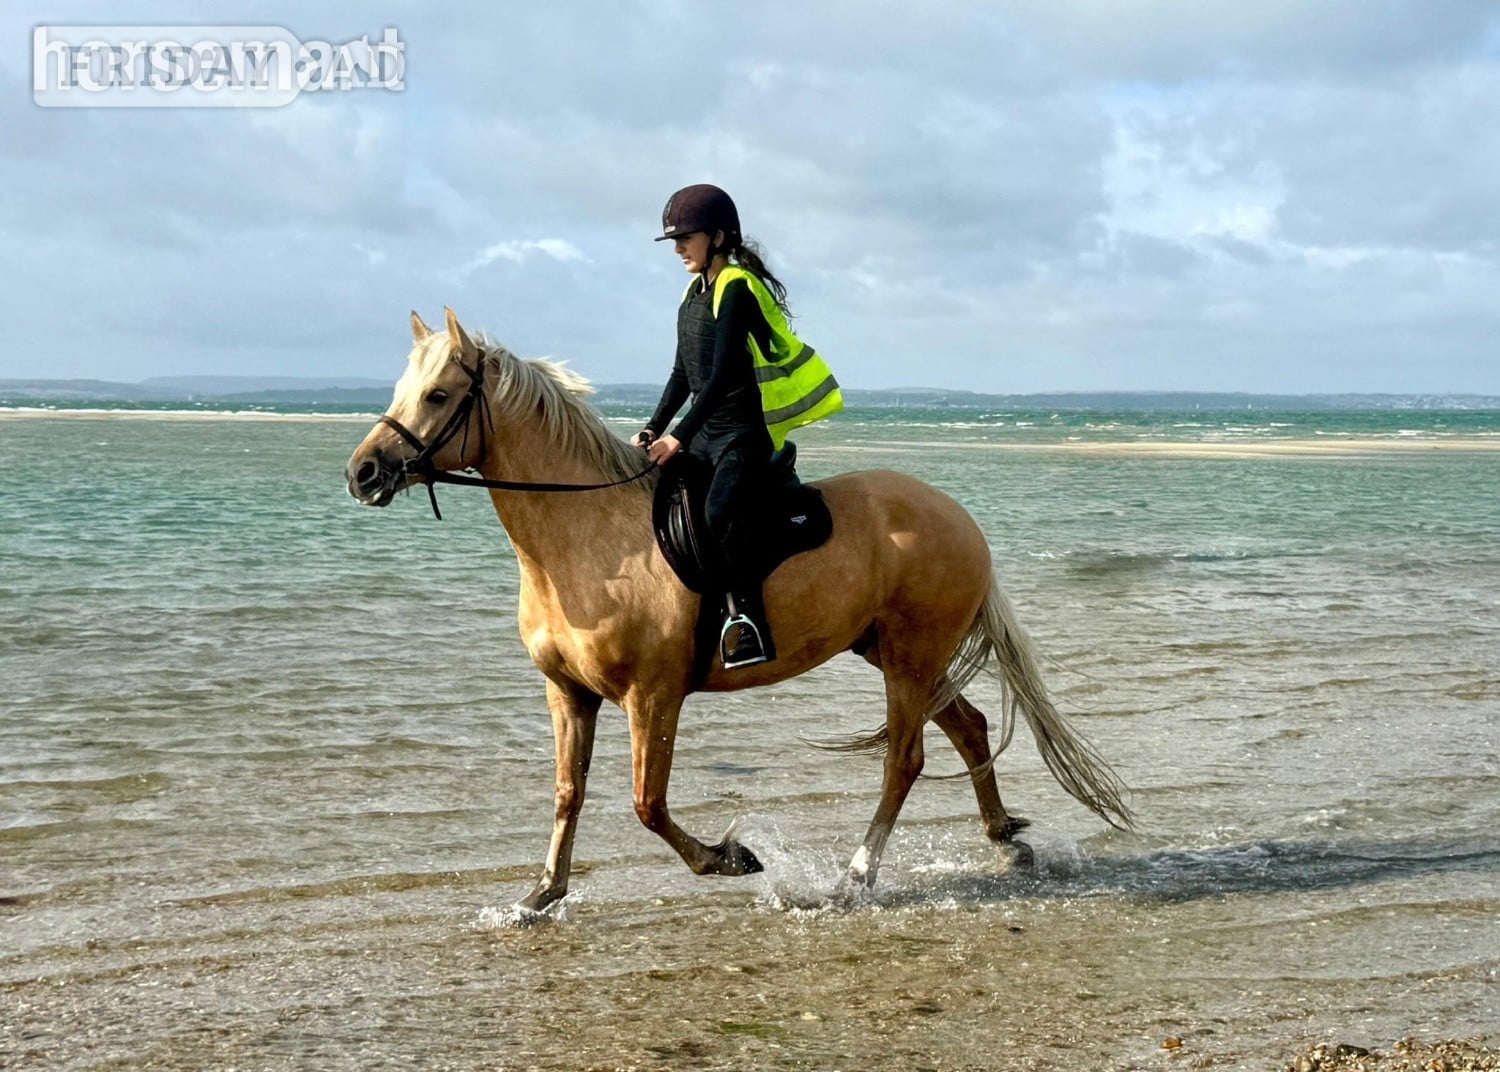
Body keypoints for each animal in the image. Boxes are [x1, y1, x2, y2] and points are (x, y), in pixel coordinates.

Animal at [345, 308, 1132, 914]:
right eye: (403, 388)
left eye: (439, 395)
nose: (363, 473)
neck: (587, 539)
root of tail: (958, 517)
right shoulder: (567, 692)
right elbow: (569, 791)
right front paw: (541, 895)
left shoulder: (653, 697)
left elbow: (647, 804)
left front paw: (729, 858)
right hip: (893, 649)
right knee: (968, 730)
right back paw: (1005, 843)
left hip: (909, 658)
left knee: (903, 761)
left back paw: (854, 879)